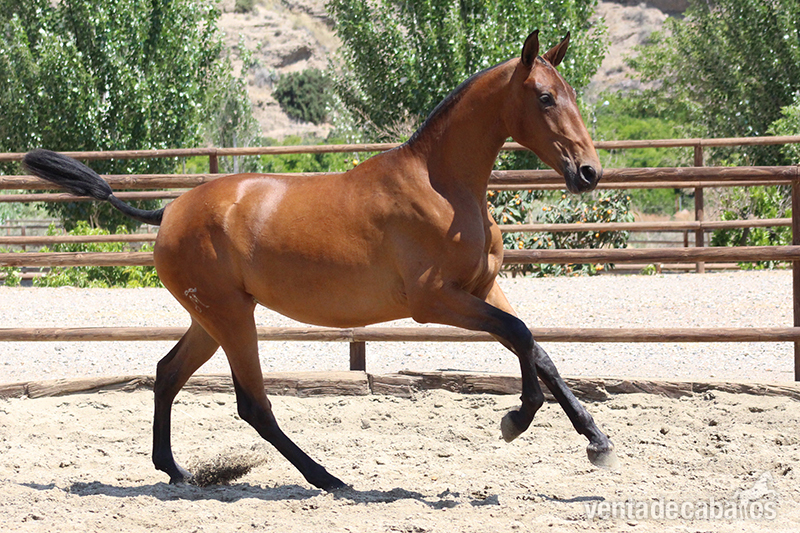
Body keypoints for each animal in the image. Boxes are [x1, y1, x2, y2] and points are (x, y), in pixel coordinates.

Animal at [23, 30, 617, 491]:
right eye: (545, 97)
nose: (588, 173)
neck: (443, 187)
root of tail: (168, 211)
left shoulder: (484, 287)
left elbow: (540, 350)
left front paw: (597, 440)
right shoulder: (436, 301)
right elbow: (520, 336)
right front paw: (516, 419)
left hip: (210, 318)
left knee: (167, 373)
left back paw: (178, 472)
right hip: (231, 317)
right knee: (253, 405)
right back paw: (328, 479)